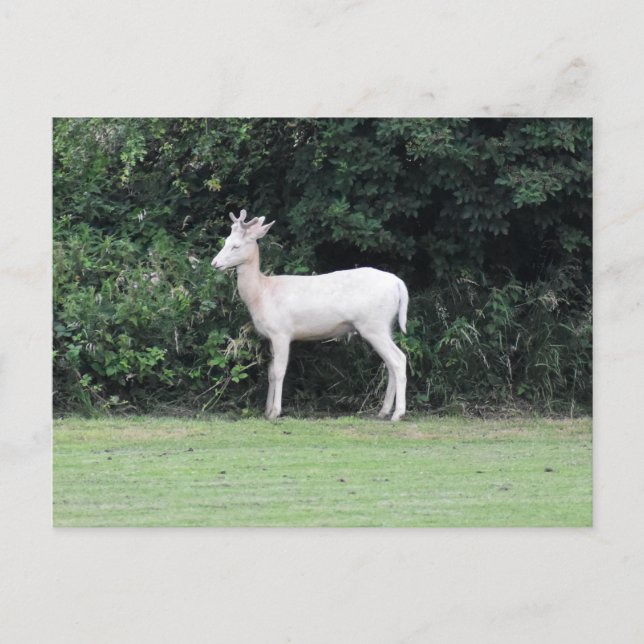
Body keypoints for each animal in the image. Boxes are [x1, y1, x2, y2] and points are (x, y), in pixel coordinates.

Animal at [211, 210, 408, 421]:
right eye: (225, 241)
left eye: (236, 245)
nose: (215, 263)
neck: (261, 293)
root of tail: (398, 283)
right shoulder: (270, 336)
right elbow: (271, 373)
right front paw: (266, 410)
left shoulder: (281, 331)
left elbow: (279, 371)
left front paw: (275, 412)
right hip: (386, 325)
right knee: (389, 364)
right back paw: (383, 411)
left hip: (374, 325)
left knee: (398, 359)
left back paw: (398, 413)